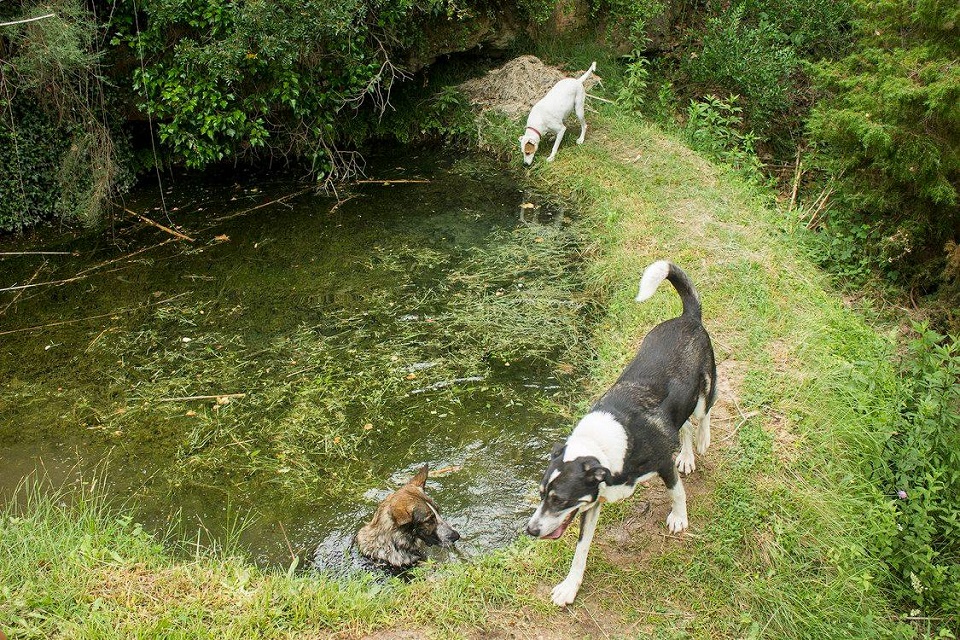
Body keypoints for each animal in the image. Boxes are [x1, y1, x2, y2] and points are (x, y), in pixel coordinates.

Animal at [524, 260, 712, 604]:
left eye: (559, 500)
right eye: (542, 495)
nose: (530, 530)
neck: (605, 444)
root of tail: (688, 317)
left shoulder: (662, 463)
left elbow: (676, 492)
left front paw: (679, 517)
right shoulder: (591, 503)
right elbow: (580, 550)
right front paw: (570, 587)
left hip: (706, 388)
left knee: (702, 416)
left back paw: (702, 442)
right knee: (684, 425)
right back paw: (688, 455)